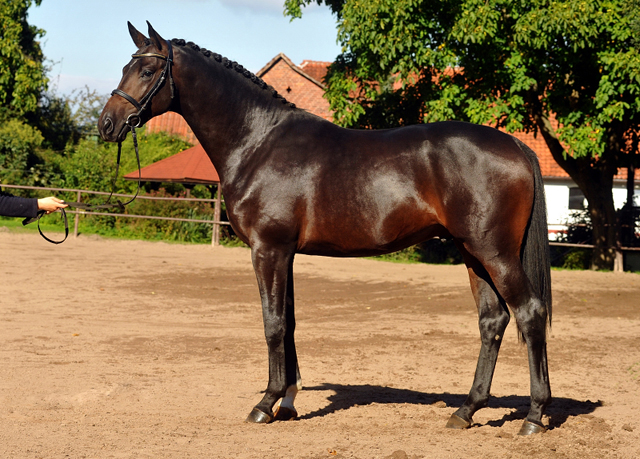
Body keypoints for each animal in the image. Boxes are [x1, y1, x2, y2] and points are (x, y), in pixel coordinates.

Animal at [99, 23, 552, 436]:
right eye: (124, 66)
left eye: (146, 71)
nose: (107, 124)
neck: (258, 141)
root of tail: (516, 145)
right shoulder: (285, 253)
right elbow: (289, 322)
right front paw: (288, 402)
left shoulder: (268, 249)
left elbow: (272, 323)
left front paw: (264, 404)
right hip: (472, 253)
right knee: (492, 321)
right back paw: (466, 411)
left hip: (494, 253)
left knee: (529, 313)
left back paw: (533, 416)